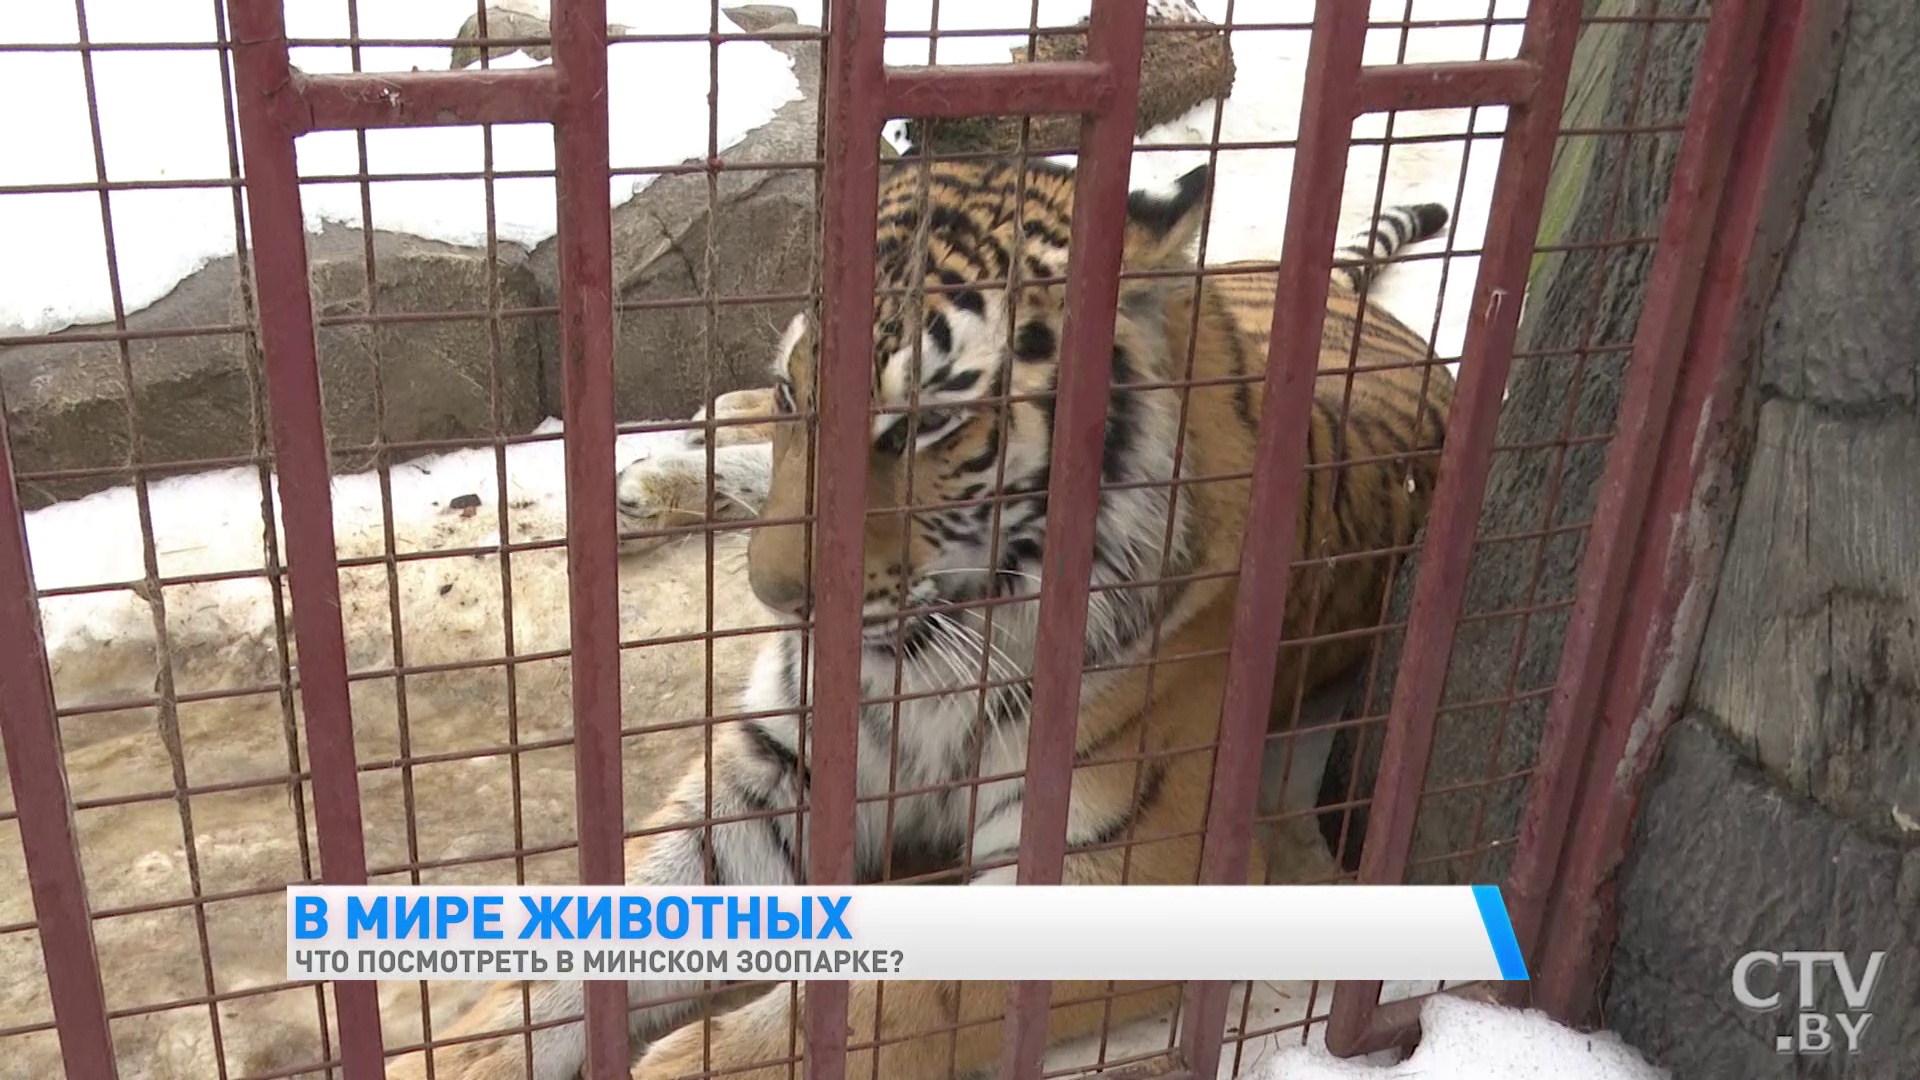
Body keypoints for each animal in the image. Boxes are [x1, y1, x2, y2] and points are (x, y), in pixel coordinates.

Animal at [405, 155, 1451, 1076]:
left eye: (922, 428)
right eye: (796, 394)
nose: (778, 599)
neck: (941, 648)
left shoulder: (1139, 858)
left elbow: (868, 1012)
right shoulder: (780, 760)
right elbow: (609, 913)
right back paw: (670, 455)